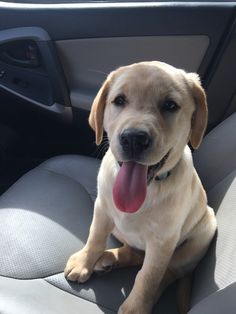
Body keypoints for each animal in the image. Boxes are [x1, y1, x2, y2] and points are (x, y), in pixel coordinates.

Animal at [63, 62, 217, 314]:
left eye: (170, 105)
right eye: (119, 100)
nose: (134, 139)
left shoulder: (163, 241)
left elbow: (148, 276)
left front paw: (136, 306)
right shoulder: (102, 207)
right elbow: (95, 236)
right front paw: (84, 261)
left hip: (200, 236)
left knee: (168, 272)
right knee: (134, 252)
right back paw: (108, 258)